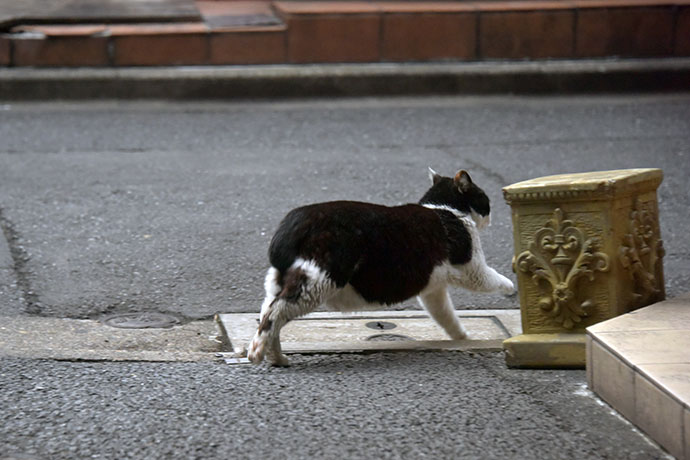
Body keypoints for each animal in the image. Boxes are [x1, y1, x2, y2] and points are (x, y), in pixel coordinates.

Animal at [246, 169, 510, 366]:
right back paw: (257, 353)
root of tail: (291, 224)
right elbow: (496, 279)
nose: (491, 217)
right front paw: (512, 289)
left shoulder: (432, 289)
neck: (446, 209)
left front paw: (462, 338)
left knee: (267, 311)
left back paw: (277, 357)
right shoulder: (472, 269)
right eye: (484, 199)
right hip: (319, 281)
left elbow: (445, 315)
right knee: (275, 312)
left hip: (280, 281)